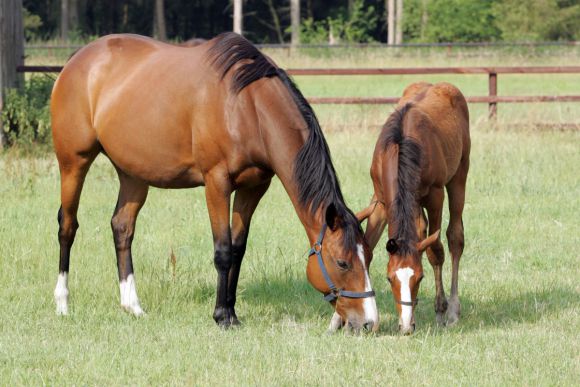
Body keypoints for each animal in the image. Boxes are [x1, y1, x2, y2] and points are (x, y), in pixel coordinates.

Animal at [49, 32, 378, 330]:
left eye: (369, 258)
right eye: (342, 262)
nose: (368, 322)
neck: (246, 107)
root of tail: (77, 60)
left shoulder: (254, 186)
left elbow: (237, 250)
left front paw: (232, 312)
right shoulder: (217, 182)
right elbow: (222, 250)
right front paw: (221, 316)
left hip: (132, 173)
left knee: (122, 227)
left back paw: (133, 305)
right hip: (74, 163)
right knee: (68, 226)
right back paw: (63, 304)